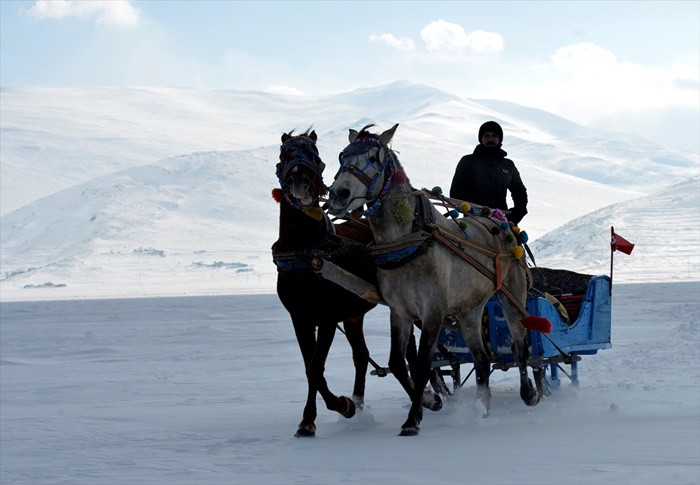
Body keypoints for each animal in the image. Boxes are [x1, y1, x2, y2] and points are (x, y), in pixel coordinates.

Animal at [270, 129, 378, 438]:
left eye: (315, 156)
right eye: (284, 154)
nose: (300, 181)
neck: (306, 249)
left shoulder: (328, 317)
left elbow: (316, 367)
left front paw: (339, 406)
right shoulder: (301, 317)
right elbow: (311, 367)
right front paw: (312, 418)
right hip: (354, 315)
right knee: (361, 355)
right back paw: (359, 402)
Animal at [328, 124, 540, 434]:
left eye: (375, 158)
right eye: (342, 156)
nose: (338, 194)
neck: (408, 242)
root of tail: (501, 220)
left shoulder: (433, 311)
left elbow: (422, 364)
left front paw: (413, 420)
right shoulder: (400, 312)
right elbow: (398, 362)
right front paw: (431, 401)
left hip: (512, 298)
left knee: (520, 346)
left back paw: (529, 393)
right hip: (469, 310)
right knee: (482, 358)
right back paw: (482, 407)